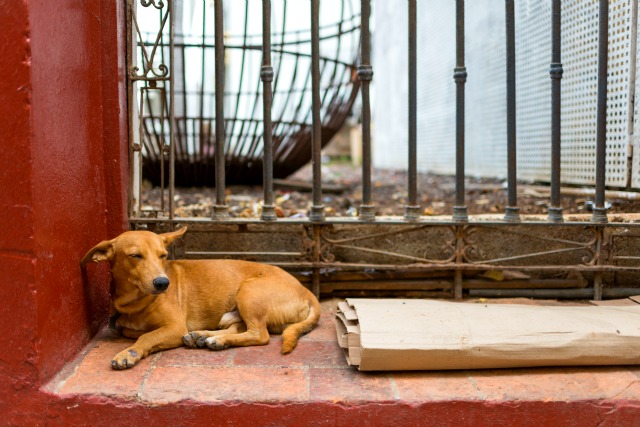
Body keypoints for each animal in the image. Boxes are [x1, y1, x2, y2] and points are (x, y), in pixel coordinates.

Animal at [81, 227, 320, 372]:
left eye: (163, 256)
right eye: (135, 256)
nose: (163, 283)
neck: (135, 301)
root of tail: (306, 291)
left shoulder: (175, 327)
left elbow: (146, 336)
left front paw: (129, 353)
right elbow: (132, 330)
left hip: (249, 291)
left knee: (259, 334)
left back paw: (216, 339)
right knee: (238, 327)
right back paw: (205, 336)